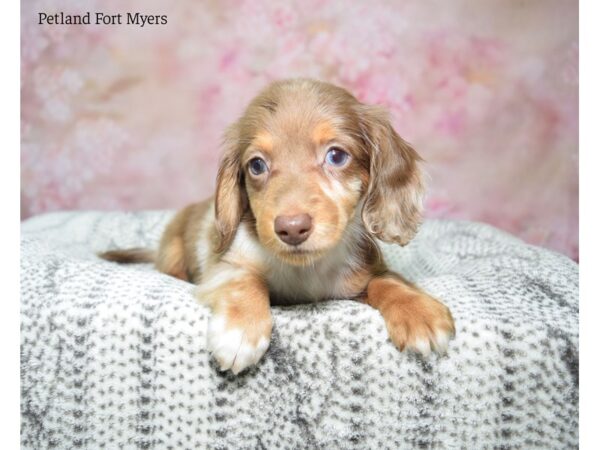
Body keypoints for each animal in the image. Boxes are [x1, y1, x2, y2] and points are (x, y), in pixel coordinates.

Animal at [101, 79, 454, 374]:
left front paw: (418, 311)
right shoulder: (225, 266)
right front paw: (240, 330)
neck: (304, 270)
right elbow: (246, 280)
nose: (292, 229)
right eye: (257, 165)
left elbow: (388, 281)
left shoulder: (360, 278)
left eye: (336, 156)